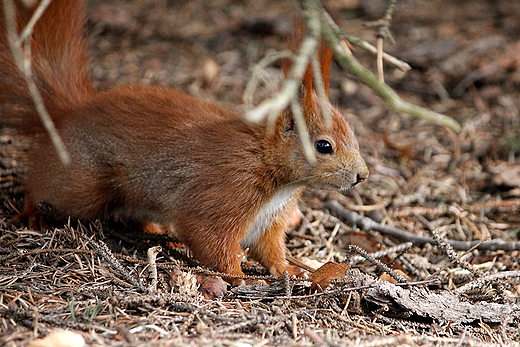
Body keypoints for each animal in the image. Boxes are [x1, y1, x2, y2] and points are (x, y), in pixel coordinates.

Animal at [3, 1, 370, 284]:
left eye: (353, 135)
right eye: (324, 146)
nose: (362, 176)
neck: (269, 165)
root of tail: (69, 111)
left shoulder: (270, 221)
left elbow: (270, 249)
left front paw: (290, 271)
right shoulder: (224, 192)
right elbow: (209, 238)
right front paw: (240, 276)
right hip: (82, 185)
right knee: (46, 187)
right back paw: (33, 213)